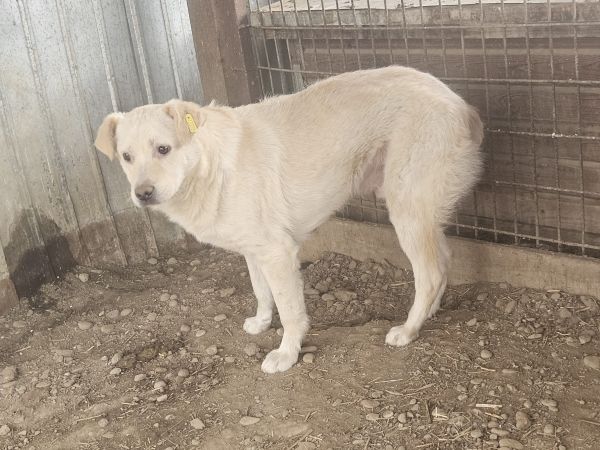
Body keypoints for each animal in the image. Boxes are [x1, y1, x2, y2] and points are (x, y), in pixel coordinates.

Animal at [95, 66, 483, 373]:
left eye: (163, 149)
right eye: (126, 157)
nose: (143, 194)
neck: (211, 165)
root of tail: (459, 103)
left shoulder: (278, 252)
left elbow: (291, 310)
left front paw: (286, 353)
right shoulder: (255, 250)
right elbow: (261, 292)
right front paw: (262, 322)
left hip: (406, 209)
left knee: (429, 273)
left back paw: (409, 329)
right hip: (424, 213)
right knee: (443, 261)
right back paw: (429, 312)